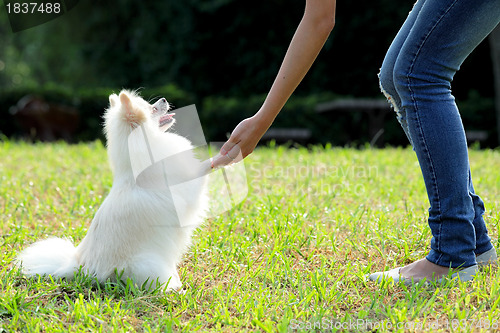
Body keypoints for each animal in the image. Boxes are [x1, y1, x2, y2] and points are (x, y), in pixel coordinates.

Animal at [15, 89, 207, 290]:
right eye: (151, 108)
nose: (163, 99)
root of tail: (80, 267)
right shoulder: (189, 189)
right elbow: (203, 172)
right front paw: (216, 160)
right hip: (148, 265)